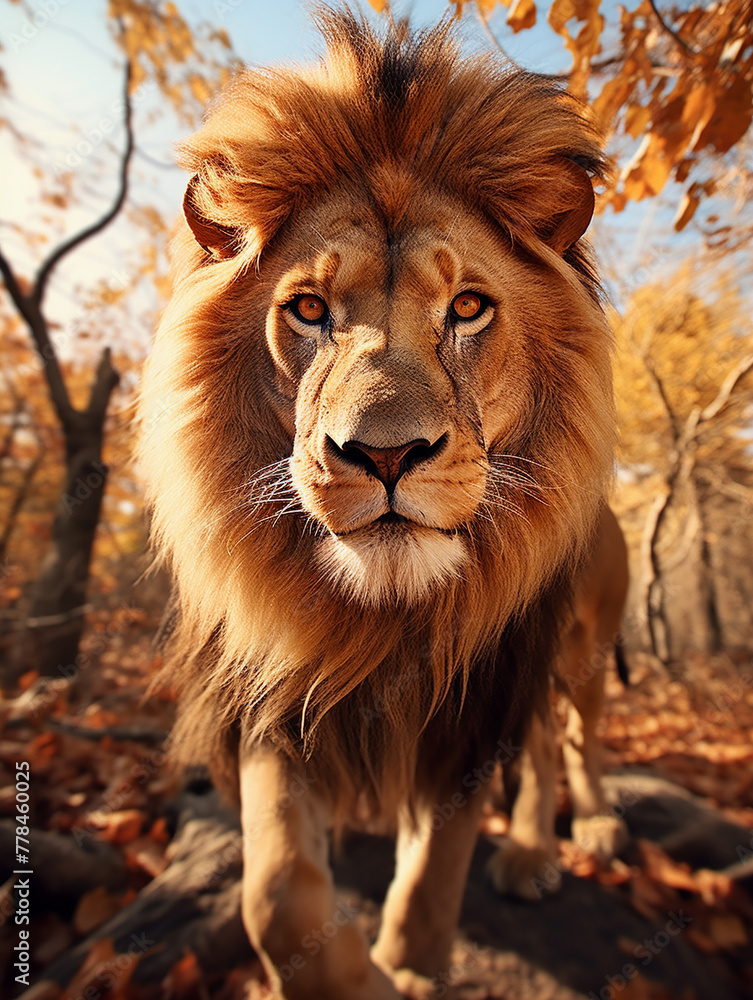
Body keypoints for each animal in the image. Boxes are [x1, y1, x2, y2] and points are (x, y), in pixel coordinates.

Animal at [137, 8, 615, 998]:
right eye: (308, 309)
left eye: (468, 307)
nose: (386, 454)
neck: (383, 615)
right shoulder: (276, 687)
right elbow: (275, 892)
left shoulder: (479, 699)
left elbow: (435, 868)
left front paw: (409, 965)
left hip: (580, 642)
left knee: (574, 740)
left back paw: (568, 835)